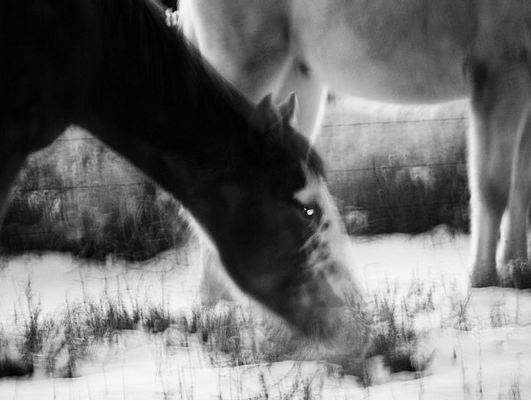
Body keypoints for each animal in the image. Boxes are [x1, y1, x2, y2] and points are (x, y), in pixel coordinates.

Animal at [179, 0, 531, 289]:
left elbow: (520, 190)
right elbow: (493, 187)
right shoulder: (501, 76)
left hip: (293, 87)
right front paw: (483, 279)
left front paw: (518, 269)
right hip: (246, 70)